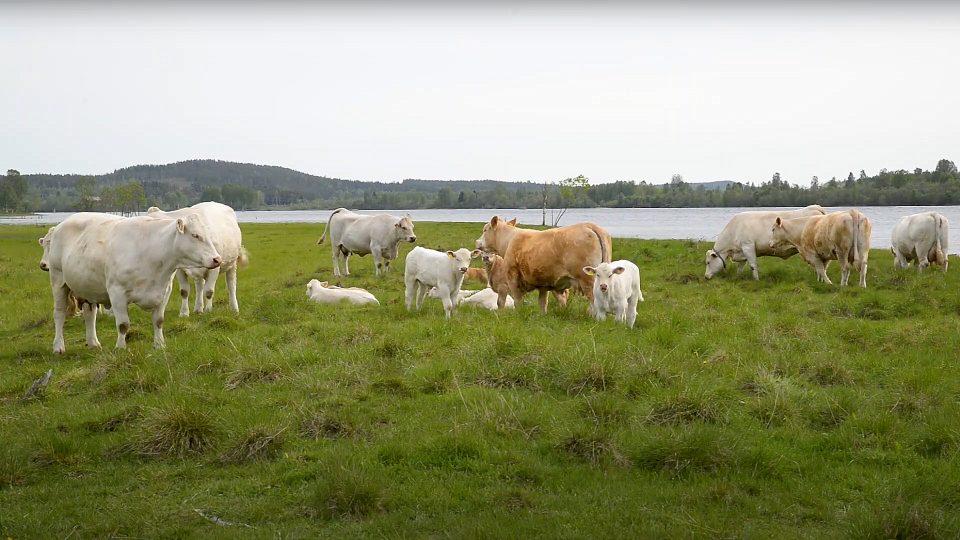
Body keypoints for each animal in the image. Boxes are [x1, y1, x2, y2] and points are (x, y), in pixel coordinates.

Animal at [43, 209, 221, 352]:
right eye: (195, 235)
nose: (217, 259)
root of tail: (63, 223)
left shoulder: (164, 291)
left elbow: (159, 321)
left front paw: (160, 345)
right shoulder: (117, 293)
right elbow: (123, 324)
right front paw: (120, 348)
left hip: (87, 286)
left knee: (89, 313)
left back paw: (93, 343)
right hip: (58, 281)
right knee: (59, 314)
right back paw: (58, 346)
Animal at [474, 217, 616, 312]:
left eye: (485, 230)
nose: (477, 242)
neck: (509, 241)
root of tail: (590, 226)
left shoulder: (512, 277)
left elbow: (514, 301)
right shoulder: (543, 282)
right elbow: (543, 302)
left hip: (587, 279)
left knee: (595, 302)